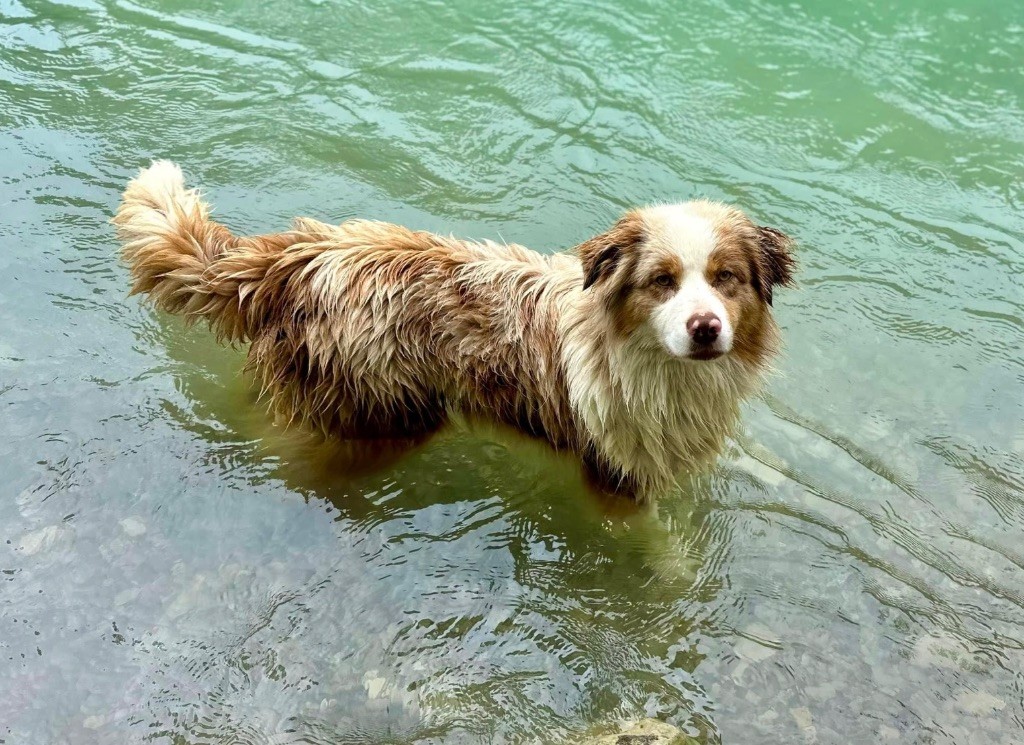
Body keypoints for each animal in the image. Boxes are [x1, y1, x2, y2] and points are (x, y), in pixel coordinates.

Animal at [116, 162, 794, 501]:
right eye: (662, 280)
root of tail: (300, 255)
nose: (705, 328)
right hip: (385, 414)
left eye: (726, 278)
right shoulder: (612, 473)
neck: (653, 362)